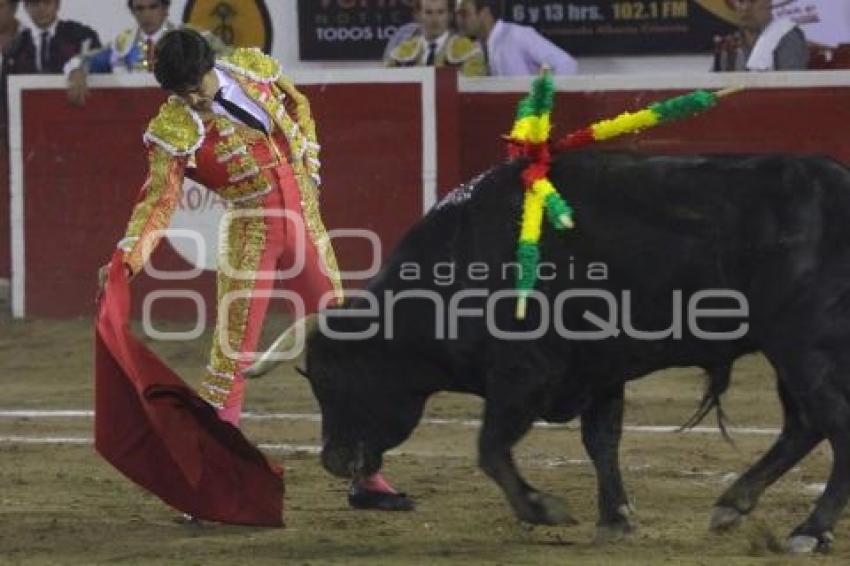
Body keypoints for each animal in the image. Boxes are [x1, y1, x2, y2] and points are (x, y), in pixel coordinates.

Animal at [256, 152, 848, 556]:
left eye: (330, 377)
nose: (333, 460)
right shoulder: (599, 371)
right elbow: (601, 441)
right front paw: (615, 519)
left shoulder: (526, 374)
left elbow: (491, 448)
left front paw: (544, 509)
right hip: (788, 352)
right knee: (803, 425)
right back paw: (733, 504)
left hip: (803, 345)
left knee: (831, 424)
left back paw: (809, 531)